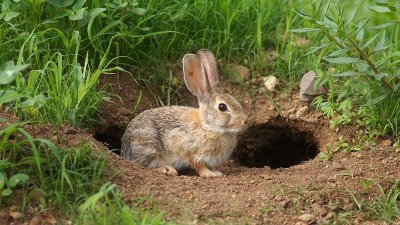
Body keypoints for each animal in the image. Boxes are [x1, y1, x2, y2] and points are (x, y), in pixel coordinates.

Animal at [120, 48, 248, 177]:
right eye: (222, 107)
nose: (245, 121)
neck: (208, 128)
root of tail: (124, 149)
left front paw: (216, 172)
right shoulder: (190, 150)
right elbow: (198, 165)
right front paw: (210, 174)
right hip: (148, 146)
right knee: (144, 165)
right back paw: (167, 169)